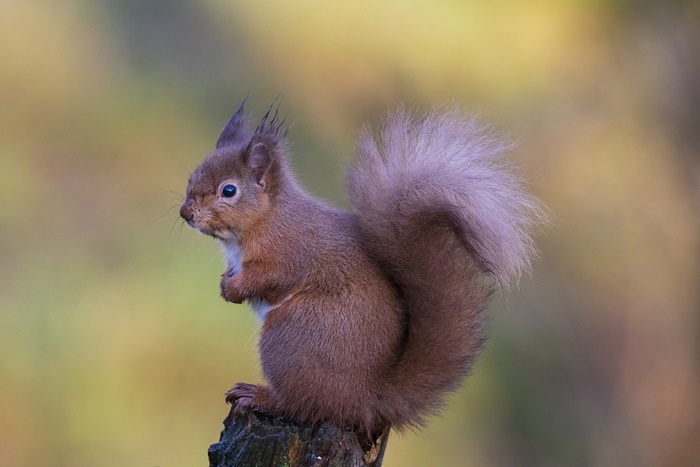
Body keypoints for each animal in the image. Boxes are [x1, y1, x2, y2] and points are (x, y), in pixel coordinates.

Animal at [180, 100, 543, 435]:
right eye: (191, 178)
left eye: (229, 190)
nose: (186, 213)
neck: (266, 220)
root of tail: (365, 399)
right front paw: (226, 282)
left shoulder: (288, 252)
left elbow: (270, 277)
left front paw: (232, 289)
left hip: (293, 336)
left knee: (304, 405)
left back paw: (259, 396)